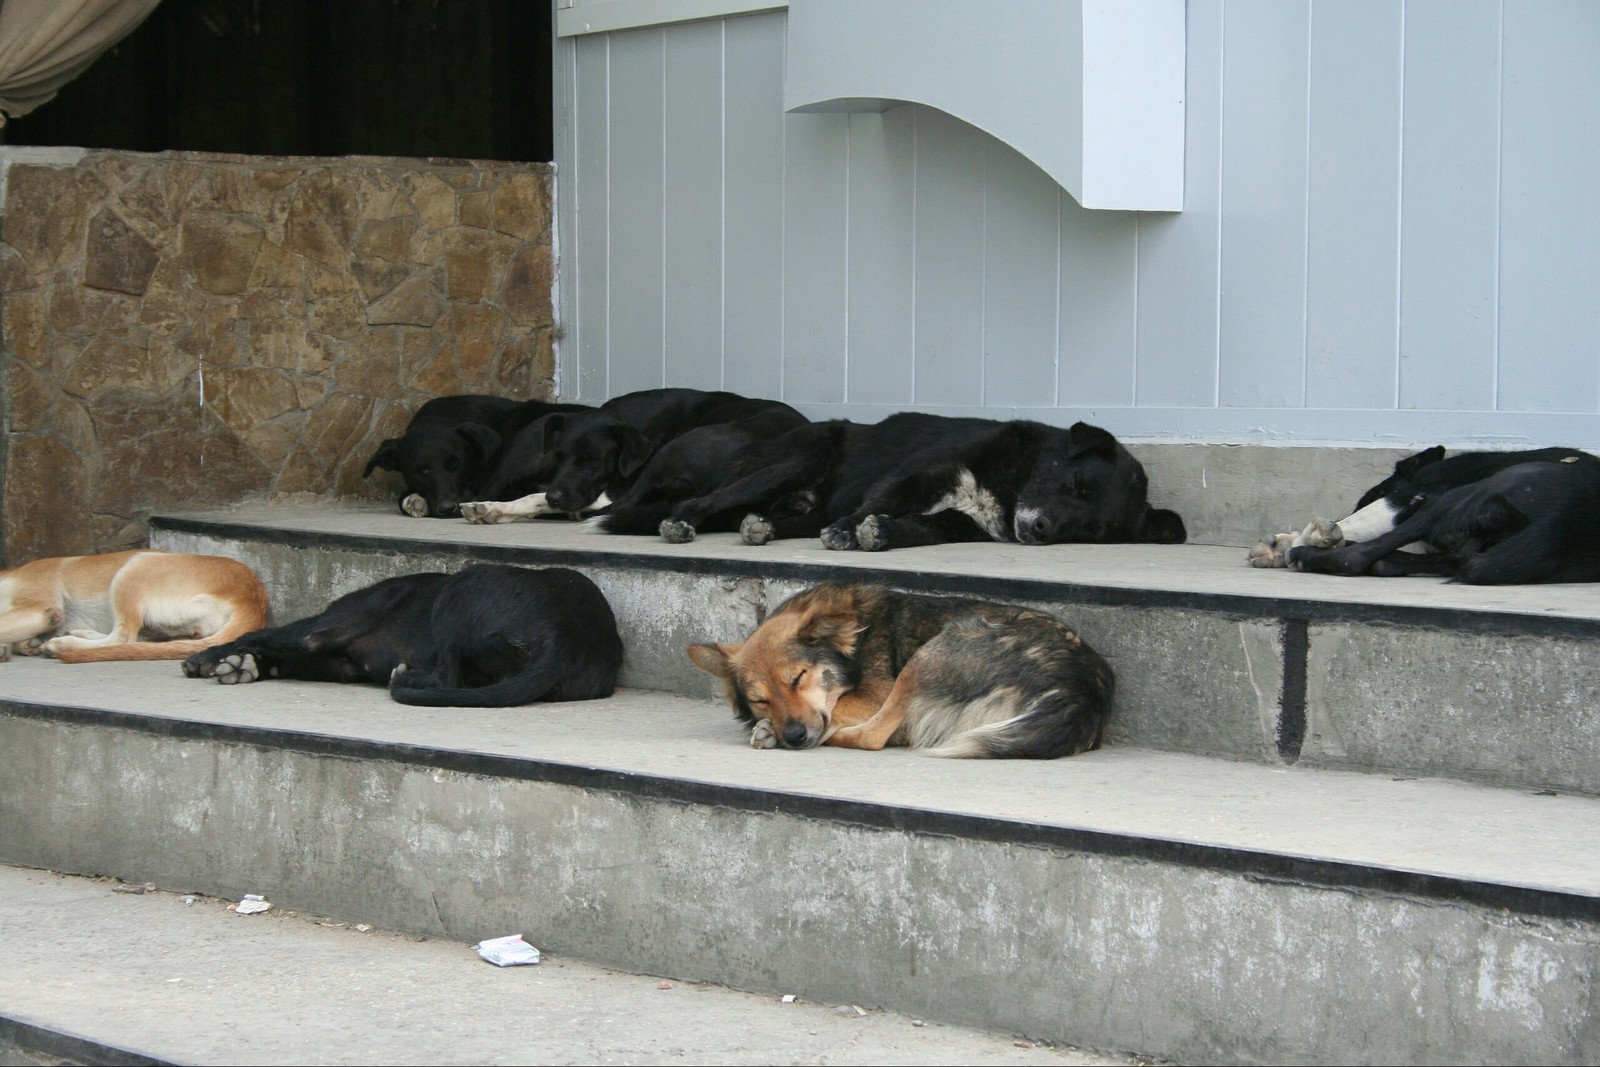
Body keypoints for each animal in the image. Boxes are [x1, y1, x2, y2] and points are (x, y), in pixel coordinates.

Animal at [0, 556, 268, 662]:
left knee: (122, 637)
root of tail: (251, 597)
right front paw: (22, 645)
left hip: (133, 568)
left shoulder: (42, 607)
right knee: (136, 641)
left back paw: (63, 644)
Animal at [178, 566, 620, 710]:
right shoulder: (342, 664)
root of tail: (568, 639)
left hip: (463, 585)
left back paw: (409, 676)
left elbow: (266, 634)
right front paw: (242, 665)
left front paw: (213, 656)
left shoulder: (328, 629)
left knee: (447, 675)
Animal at [1248, 447, 1600, 588]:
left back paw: (1302, 552)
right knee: (1385, 560)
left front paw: (1291, 543)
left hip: (1456, 499)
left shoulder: (1408, 497)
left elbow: (1359, 522)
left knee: (1357, 557)